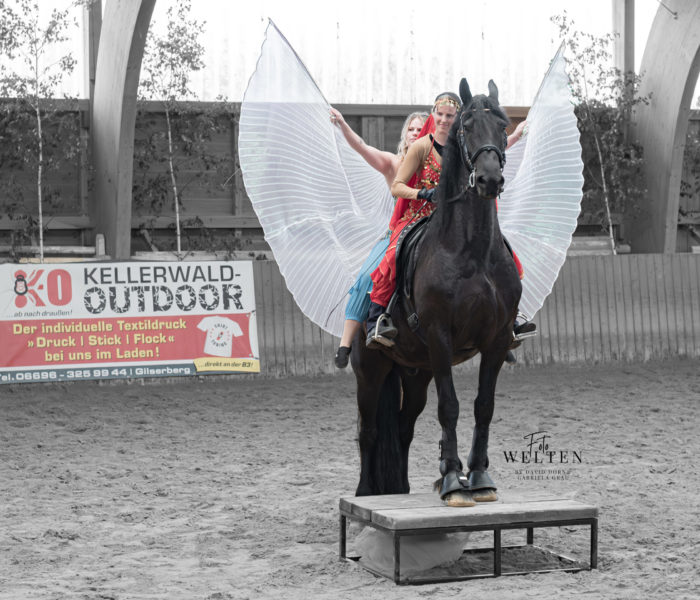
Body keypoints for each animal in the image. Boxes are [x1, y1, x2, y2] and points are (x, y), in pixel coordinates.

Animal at [352, 78, 524, 506]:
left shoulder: (497, 340)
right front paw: (451, 481)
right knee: (369, 429)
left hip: (416, 373)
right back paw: (366, 493)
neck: (472, 249)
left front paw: (478, 476)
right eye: (466, 125)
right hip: (370, 369)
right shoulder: (440, 335)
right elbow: (450, 407)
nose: (489, 179)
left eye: (502, 126)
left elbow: (483, 406)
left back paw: (401, 487)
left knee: (403, 427)